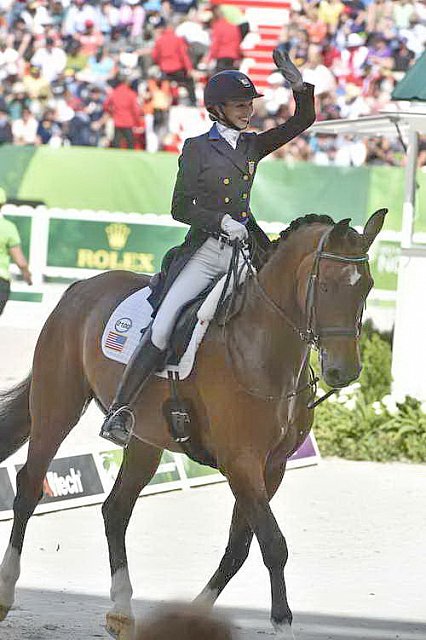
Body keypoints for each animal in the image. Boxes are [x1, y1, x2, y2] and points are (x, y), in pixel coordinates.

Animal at [0, 211, 386, 640]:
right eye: (327, 285)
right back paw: (7, 592)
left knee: (115, 510)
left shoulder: (272, 466)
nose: (344, 372)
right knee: (29, 489)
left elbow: (240, 547)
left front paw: (194, 618)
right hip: (57, 409)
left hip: (145, 440)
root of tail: (79, 288)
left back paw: (121, 612)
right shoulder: (241, 462)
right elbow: (273, 543)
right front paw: (282, 622)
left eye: (367, 286)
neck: (261, 346)